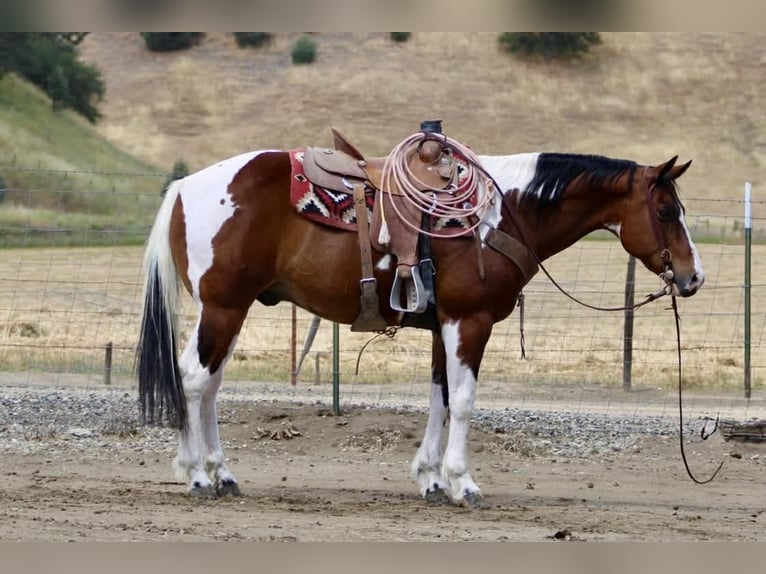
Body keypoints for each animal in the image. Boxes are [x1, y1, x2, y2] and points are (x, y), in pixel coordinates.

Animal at [135, 137, 704, 506]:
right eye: (666, 211)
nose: (694, 276)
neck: (500, 213)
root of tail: (184, 186)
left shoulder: (442, 325)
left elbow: (440, 399)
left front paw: (430, 479)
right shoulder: (470, 322)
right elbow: (465, 401)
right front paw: (463, 483)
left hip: (233, 309)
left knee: (207, 385)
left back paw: (221, 473)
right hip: (224, 308)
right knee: (194, 380)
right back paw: (198, 475)